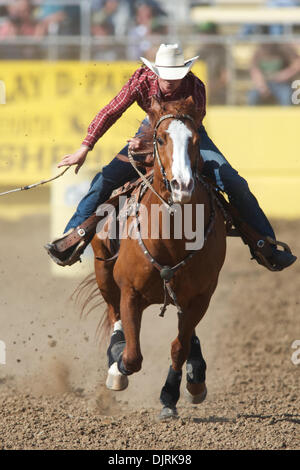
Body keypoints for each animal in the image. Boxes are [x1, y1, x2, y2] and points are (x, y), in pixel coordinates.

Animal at [84, 95, 225, 418]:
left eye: (196, 140)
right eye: (160, 139)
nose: (182, 186)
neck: (172, 238)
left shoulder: (202, 296)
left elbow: (178, 347)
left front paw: (170, 395)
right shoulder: (130, 292)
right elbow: (133, 356)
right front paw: (118, 366)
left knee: (186, 334)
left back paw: (196, 376)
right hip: (103, 272)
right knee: (113, 313)